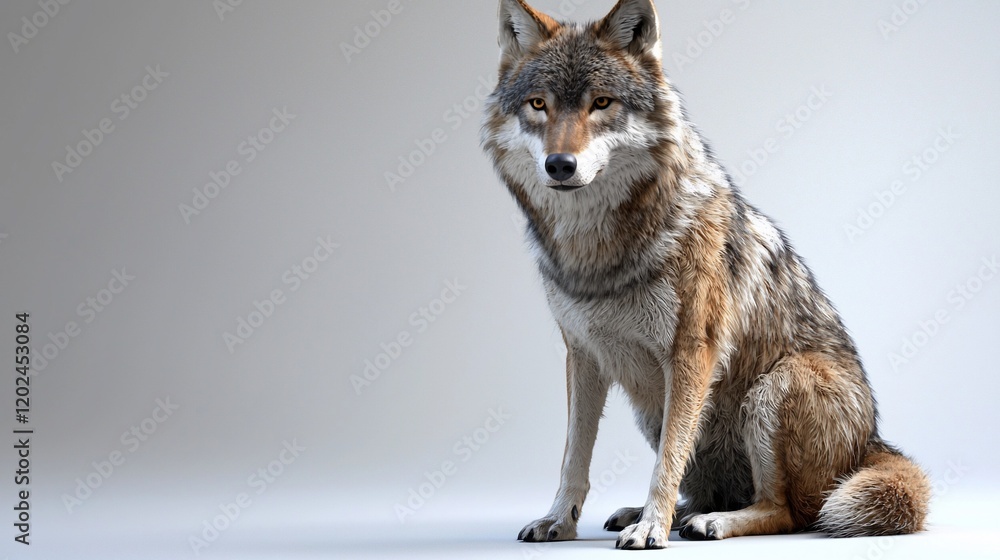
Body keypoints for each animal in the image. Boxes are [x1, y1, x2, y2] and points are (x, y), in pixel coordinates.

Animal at [480, 0, 930, 550]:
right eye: (539, 105)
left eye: (601, 103)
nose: (559, 164)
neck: (599, 253)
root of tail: (872, 443)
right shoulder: (582, 355)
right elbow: (574, 457)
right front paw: (560, 521)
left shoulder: (692, 351)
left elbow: (667, 460)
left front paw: (652, 528)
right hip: (652, 408)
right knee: (711, 488)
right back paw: (657, 512)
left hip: (773, 387)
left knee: (790, 512)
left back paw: (709, 522)